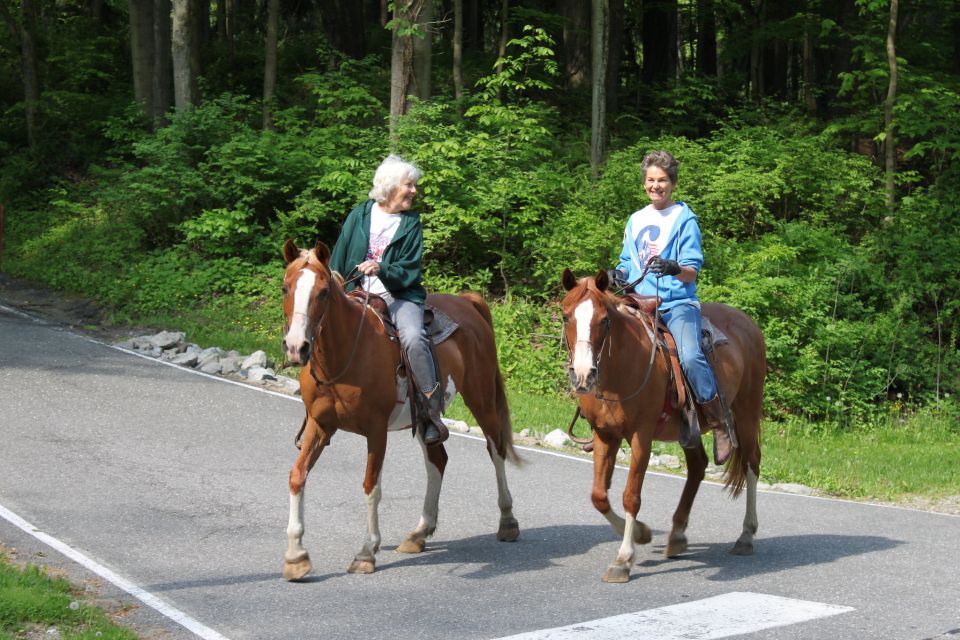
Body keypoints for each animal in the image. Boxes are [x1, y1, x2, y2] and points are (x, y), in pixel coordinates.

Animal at [280, 240, 516, 580]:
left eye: (323, 292)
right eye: (285, 287)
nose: (297, 347)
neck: (345, 352)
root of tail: (468, 302)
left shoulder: (376, 431)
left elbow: (371, 487)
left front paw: (366, 553)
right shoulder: (320, 424)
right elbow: (297, 476)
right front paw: (296, 556)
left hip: (481, 397)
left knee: (495, 449)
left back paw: (508, 521)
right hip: (426, 419)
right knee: (438, 460)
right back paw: (419, 533)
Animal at [564, 268, 764, 584]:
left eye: (604, 320)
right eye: (565, 316)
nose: (583, 374)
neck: (621, 369)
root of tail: (747, 322)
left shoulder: (641, 436)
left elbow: (631, 496)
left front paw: (623, 559)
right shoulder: (605, 435)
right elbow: (599, 496)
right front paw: (642, 533)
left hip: (747, 411)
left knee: (751, 464)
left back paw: (745, 536)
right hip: (689, 429)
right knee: (697, 467)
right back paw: (678, 535)